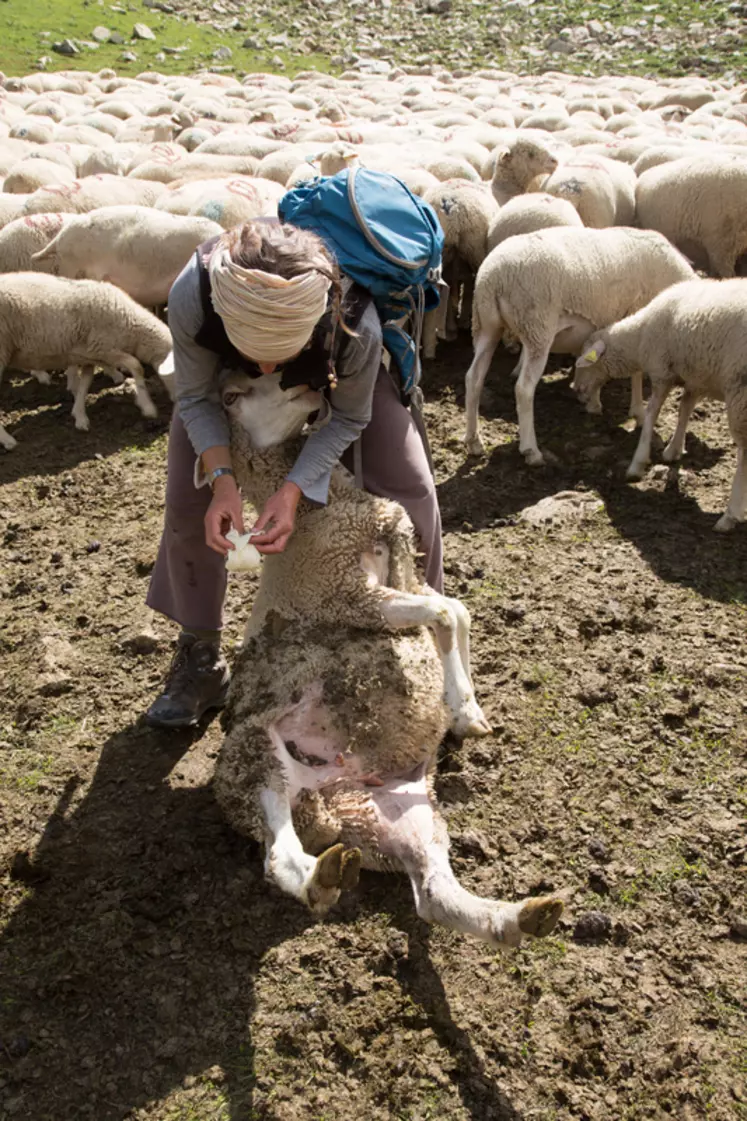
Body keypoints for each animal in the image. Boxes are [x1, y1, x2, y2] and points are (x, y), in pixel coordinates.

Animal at [0, 271, 171, 446]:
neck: (131, 324)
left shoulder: (89, 354)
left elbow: (85, 383)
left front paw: (80, 416)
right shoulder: (106, 349)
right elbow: (136, 365)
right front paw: (147, 407)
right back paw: (8, 440)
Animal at [211, 372, 560, 941]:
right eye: (232, 395)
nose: (297, 380)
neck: (318, 508)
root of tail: (328, 803)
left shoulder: (403, 569)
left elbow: (457, 611)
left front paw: (466, 706)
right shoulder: (350, 596)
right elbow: (444, 615)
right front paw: (462, 704)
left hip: (399, 815)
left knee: (434, 896)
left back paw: (523, 918)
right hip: (257, 759)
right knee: (280, 857)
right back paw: (324, 878)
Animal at [466, 227, 690, 464]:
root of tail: (494, 277)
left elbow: (594, 365)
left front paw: (590, 399)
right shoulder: (637, 319)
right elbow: (635, 372)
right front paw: (637, 410)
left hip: (486, 325)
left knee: (474, 377)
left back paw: (474, 441)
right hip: (538, 328)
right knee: (524, 389)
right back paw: (531, 450)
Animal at [569, 275, 744, 529]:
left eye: (585, 362)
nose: (576, 390)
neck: (640, 336)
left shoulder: (662, 370)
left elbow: (652, 413)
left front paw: (638, 463)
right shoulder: (695, 375)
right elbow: (685, 408)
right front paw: (674, 449)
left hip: (740, 392)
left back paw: (731, 514)